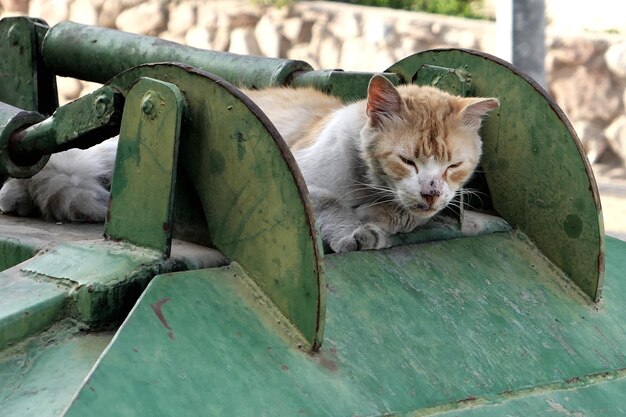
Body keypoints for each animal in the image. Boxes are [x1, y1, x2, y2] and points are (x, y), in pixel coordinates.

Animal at [0, 75, 498, 252]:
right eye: (408, 161)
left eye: (453, 166)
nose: (432, 191)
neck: (368, 185)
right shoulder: (303, 182)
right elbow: (329, 208)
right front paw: (355, 232)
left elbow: (399, 219)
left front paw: (386, 221)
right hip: (97, 157)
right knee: (58, 168)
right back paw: (22, 196)